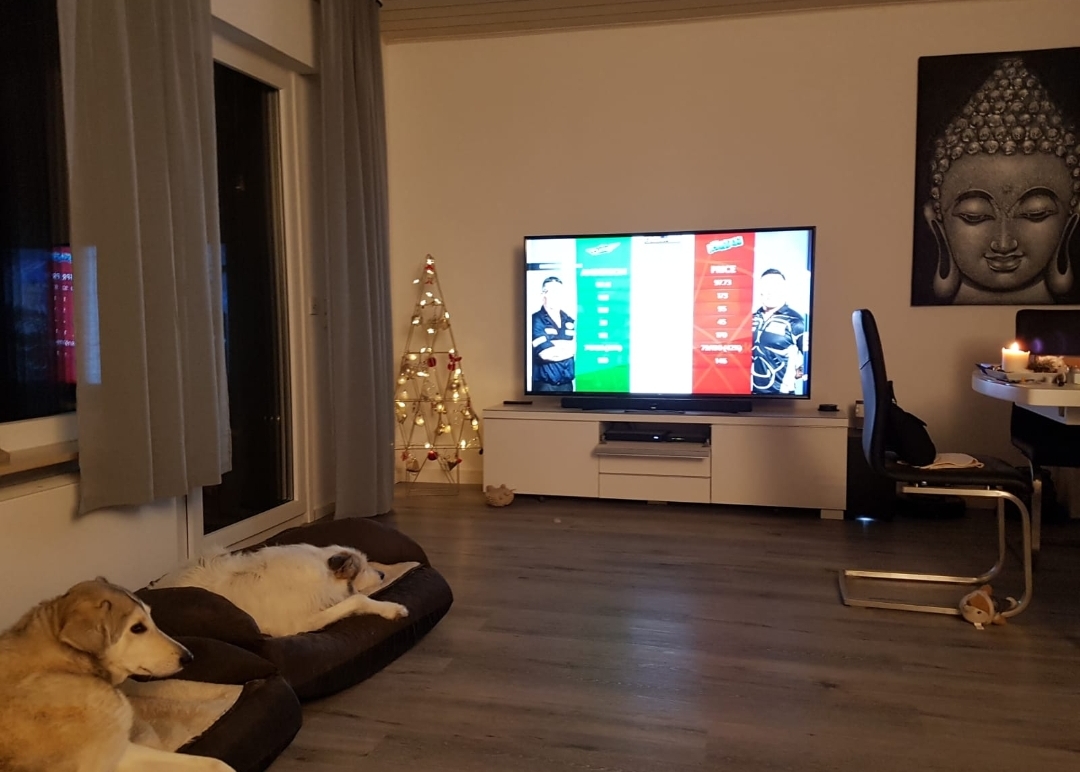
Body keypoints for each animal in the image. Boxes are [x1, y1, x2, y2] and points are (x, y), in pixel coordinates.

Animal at [150, 543, 409, 637]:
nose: (382, 575)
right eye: (363, 568)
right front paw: (393, 609)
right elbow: (357, 600)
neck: (322, 570)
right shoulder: (304, 622)